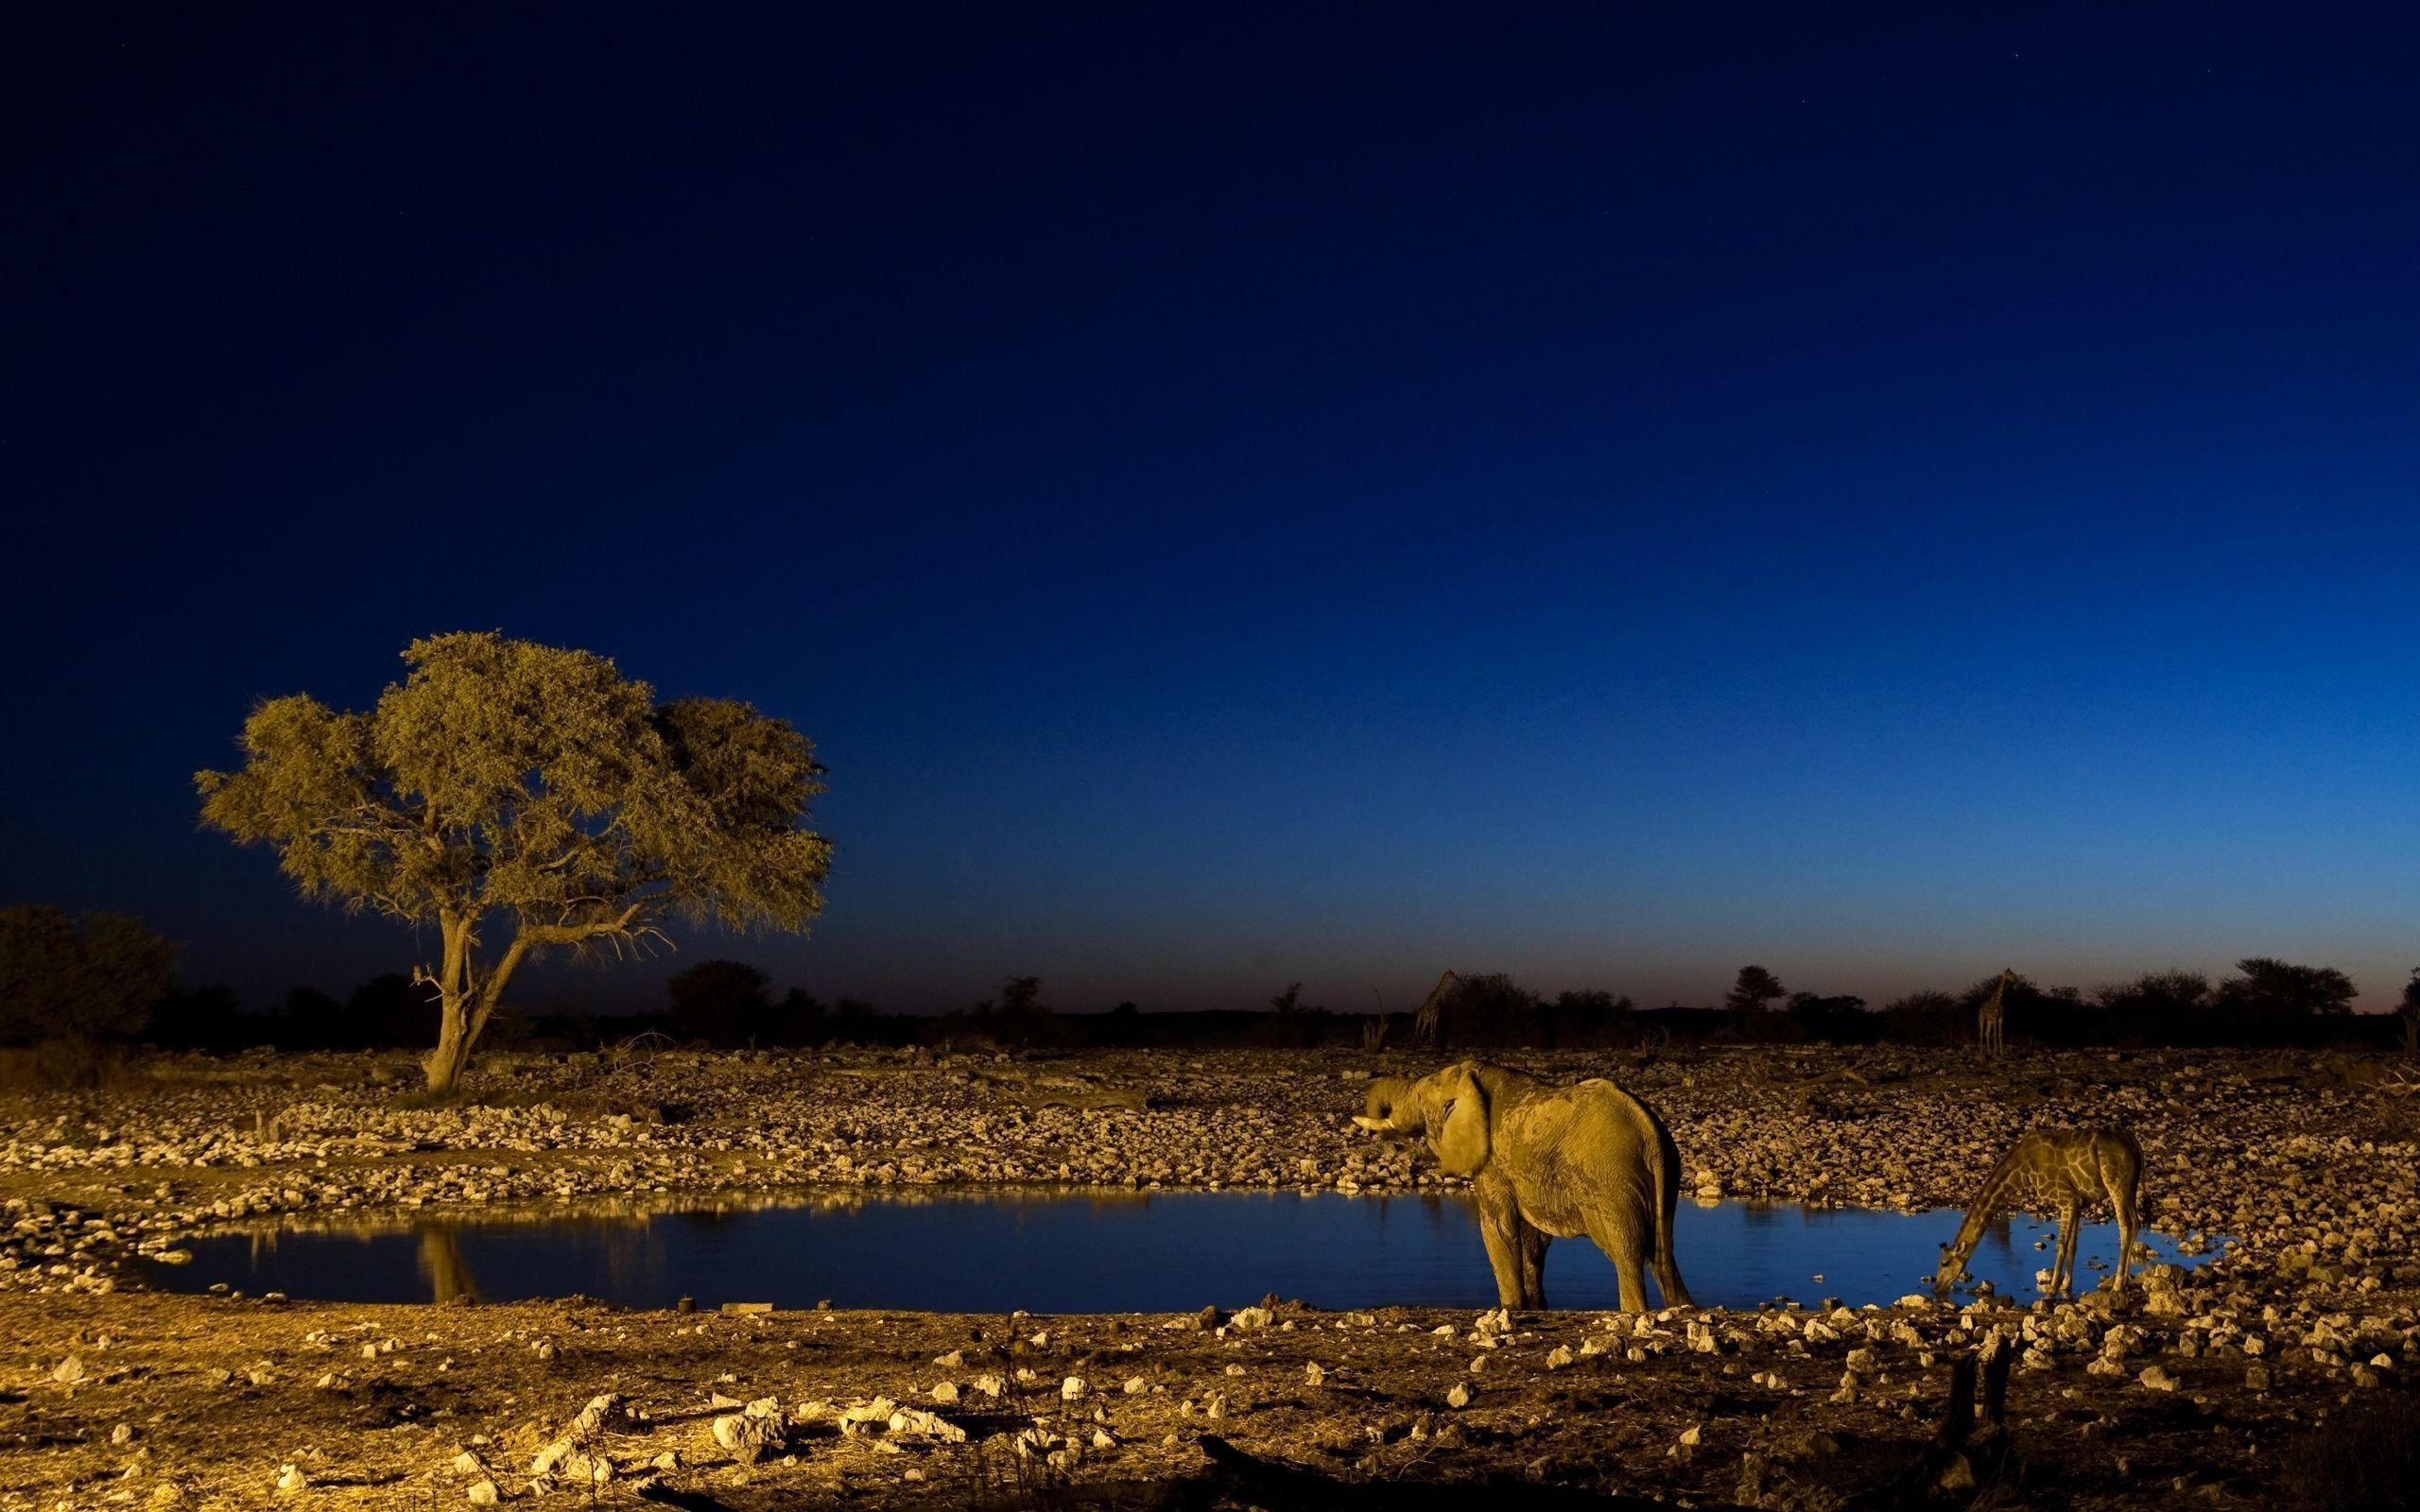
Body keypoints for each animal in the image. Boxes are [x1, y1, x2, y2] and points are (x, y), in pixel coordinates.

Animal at [1355, 1059, 1694, 1306]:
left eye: (1419, 1097)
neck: (1472, 1075)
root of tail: (1649, 1130)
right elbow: (1534, 1239)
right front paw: (1535, 1307)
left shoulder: (1492, 1164)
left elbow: (1498, 1228)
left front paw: (1511, 1308)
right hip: (1666, 1176)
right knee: (1663, 1255)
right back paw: (1682, 1308)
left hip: (1612, 1182)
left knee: (1627, 1253)